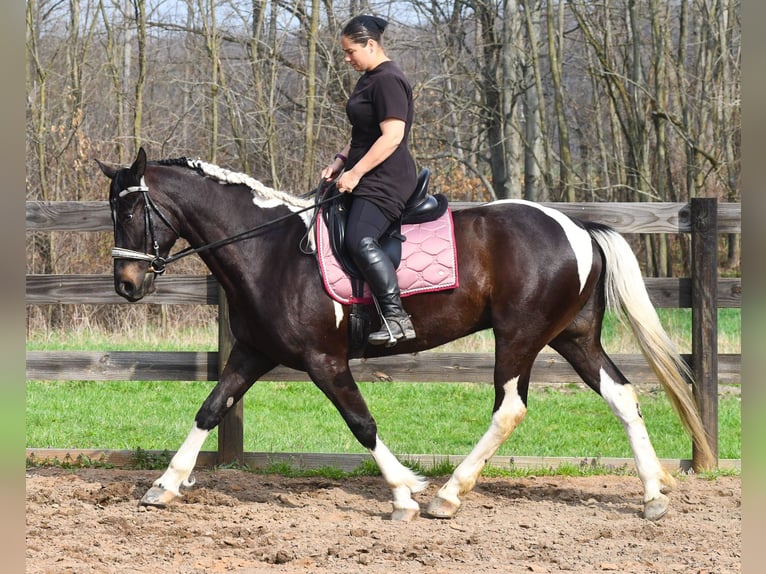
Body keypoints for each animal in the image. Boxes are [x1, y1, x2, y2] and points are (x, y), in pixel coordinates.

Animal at [97, 147, 714, 522]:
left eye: (129, 214)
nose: (126, 285)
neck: (267, 249)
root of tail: (578, 227)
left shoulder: (324, 361)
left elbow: (361, 423)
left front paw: (403, 494)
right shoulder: (251, 353)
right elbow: (209, 410)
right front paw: (164, 486)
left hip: (519, 336)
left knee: (509, 408)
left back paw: (447, 495)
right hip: (574, 338)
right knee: (622, 397)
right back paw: (652, 496)